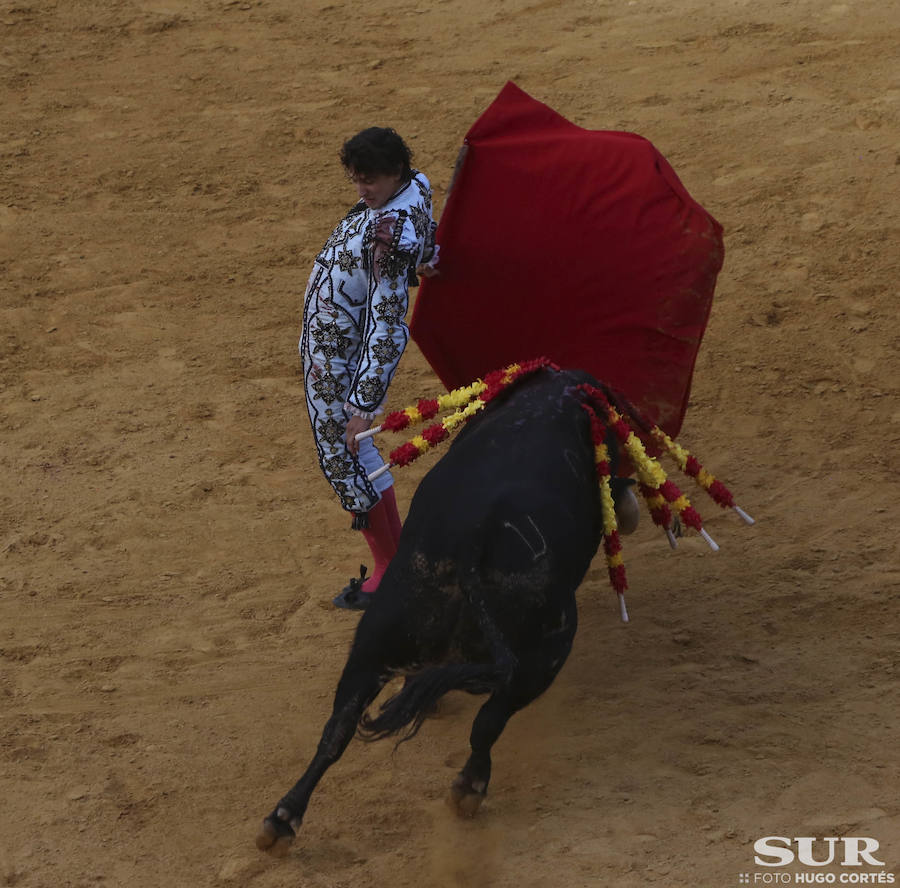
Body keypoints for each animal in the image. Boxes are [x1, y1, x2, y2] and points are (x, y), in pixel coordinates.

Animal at [256, 366, 632, 852]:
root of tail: (474, 537)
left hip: (378, 635)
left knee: (337, 728)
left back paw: (282, 819)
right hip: (549, 649)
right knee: (489, 722)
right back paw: (470, 788)